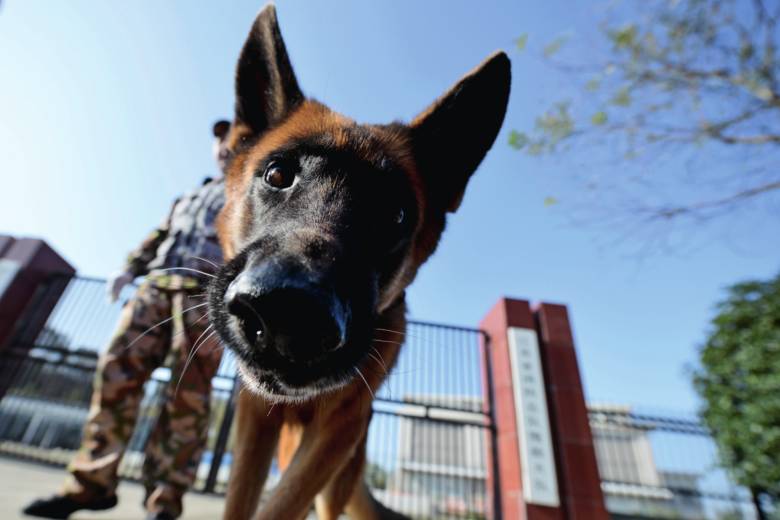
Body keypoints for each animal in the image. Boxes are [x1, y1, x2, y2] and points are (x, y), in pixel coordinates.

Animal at [207, 5, 512, 520]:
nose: (288, 313)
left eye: (394, 215)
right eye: (277, 174)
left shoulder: (338, 431)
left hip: (339, 472)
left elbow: (283, 503)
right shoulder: (256, 416)